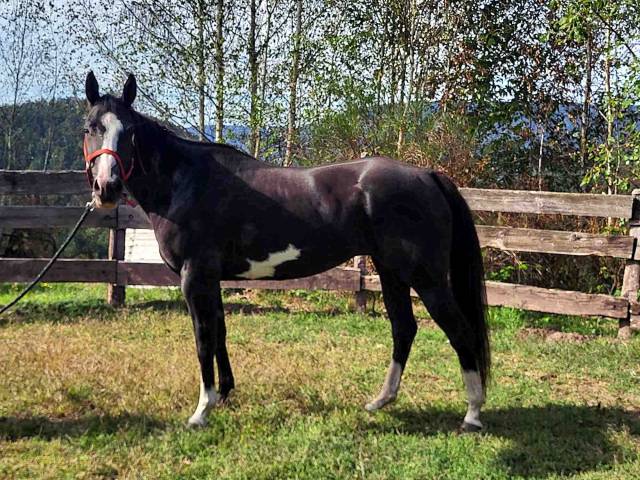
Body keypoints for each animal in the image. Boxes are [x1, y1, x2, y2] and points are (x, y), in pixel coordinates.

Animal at [82, 72, 490, 431]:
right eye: (91, 127)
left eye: (129, 132)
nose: (107, 187)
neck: (186, 183)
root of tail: (427, 175)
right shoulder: (211, 279)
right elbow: (220, 332)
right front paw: (225, 394)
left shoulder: (194, 278)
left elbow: (202, 339)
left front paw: (201, 411)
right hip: (391, 272)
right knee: (404, 328)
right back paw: (381, 400)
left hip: (427, 278)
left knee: (460, 331)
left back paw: (472, 414)